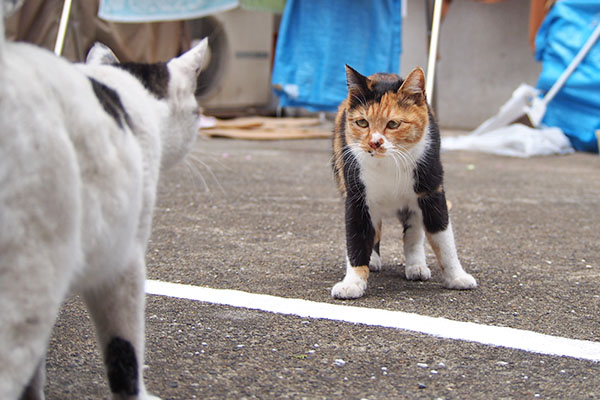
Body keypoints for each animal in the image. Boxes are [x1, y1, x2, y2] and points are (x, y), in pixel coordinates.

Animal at [330, 65, 476, 300]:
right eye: (362, 122)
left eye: (393, 123)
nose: (374, 142)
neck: (389, 164)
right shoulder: (356, 199)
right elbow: (355, 238)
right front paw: (352, 283)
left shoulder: (432, 192)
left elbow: (444, 239)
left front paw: (457, 277)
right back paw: (373, 260)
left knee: (414, 232)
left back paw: (416, 266)